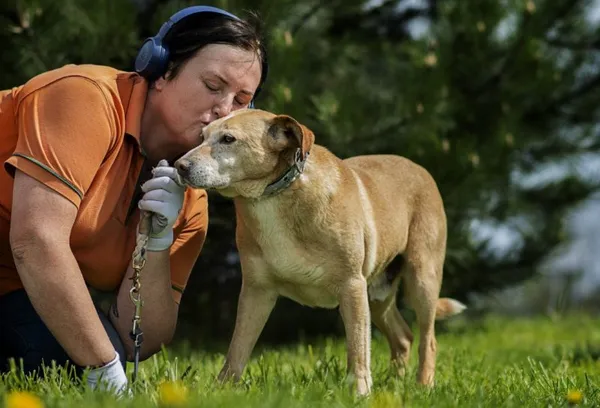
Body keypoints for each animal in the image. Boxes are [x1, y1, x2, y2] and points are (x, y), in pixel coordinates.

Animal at [176, 108, 466, 396]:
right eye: (202, 137)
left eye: (228, 139)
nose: (180, 166)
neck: (275, 196)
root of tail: (420, 169)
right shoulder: (256, 291)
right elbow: (237, 348)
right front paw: (223, 389)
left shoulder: (351, 286)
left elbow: (358, 348)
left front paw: (359, 392)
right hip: (377, 294)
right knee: (403, 337)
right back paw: (395, 386)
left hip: (421, 280)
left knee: (428, 340)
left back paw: (423, 386)